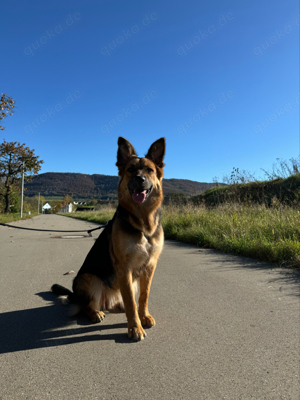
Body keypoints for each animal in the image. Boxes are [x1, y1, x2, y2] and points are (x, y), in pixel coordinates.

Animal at [50, 138, 165, 340]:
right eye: (130, 169)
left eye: (149, 170)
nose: (139, 179)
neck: (143, 223)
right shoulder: (125, 269)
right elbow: (131, 303)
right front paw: (135, 328)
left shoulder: (149, 267)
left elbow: (142, 297)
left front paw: (143, 316)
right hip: (88, 279)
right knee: (86, 306)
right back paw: (95, 313)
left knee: (119, 302)